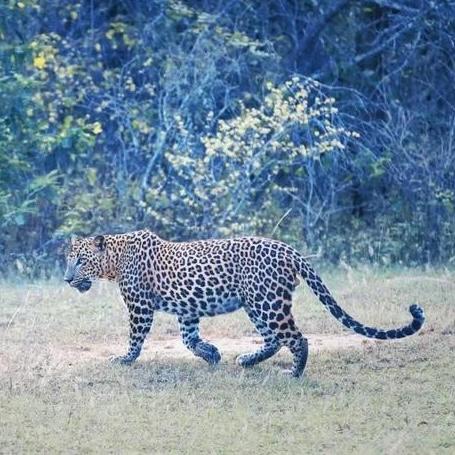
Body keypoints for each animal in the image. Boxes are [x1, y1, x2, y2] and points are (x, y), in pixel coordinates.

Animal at [65, 232, 428, 378]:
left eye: (80, 261)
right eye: (68, 260)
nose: (68, 279)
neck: (113, 260)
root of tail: (289, 249)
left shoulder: (139, 306)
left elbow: (136, 338)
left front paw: (124, 359)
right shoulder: (187, 309)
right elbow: (188, 338)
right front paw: (212, 354)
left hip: (268, 302)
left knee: (296, 338)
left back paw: (293, 374)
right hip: (256, 303)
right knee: (275, 339)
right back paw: (247, 360)